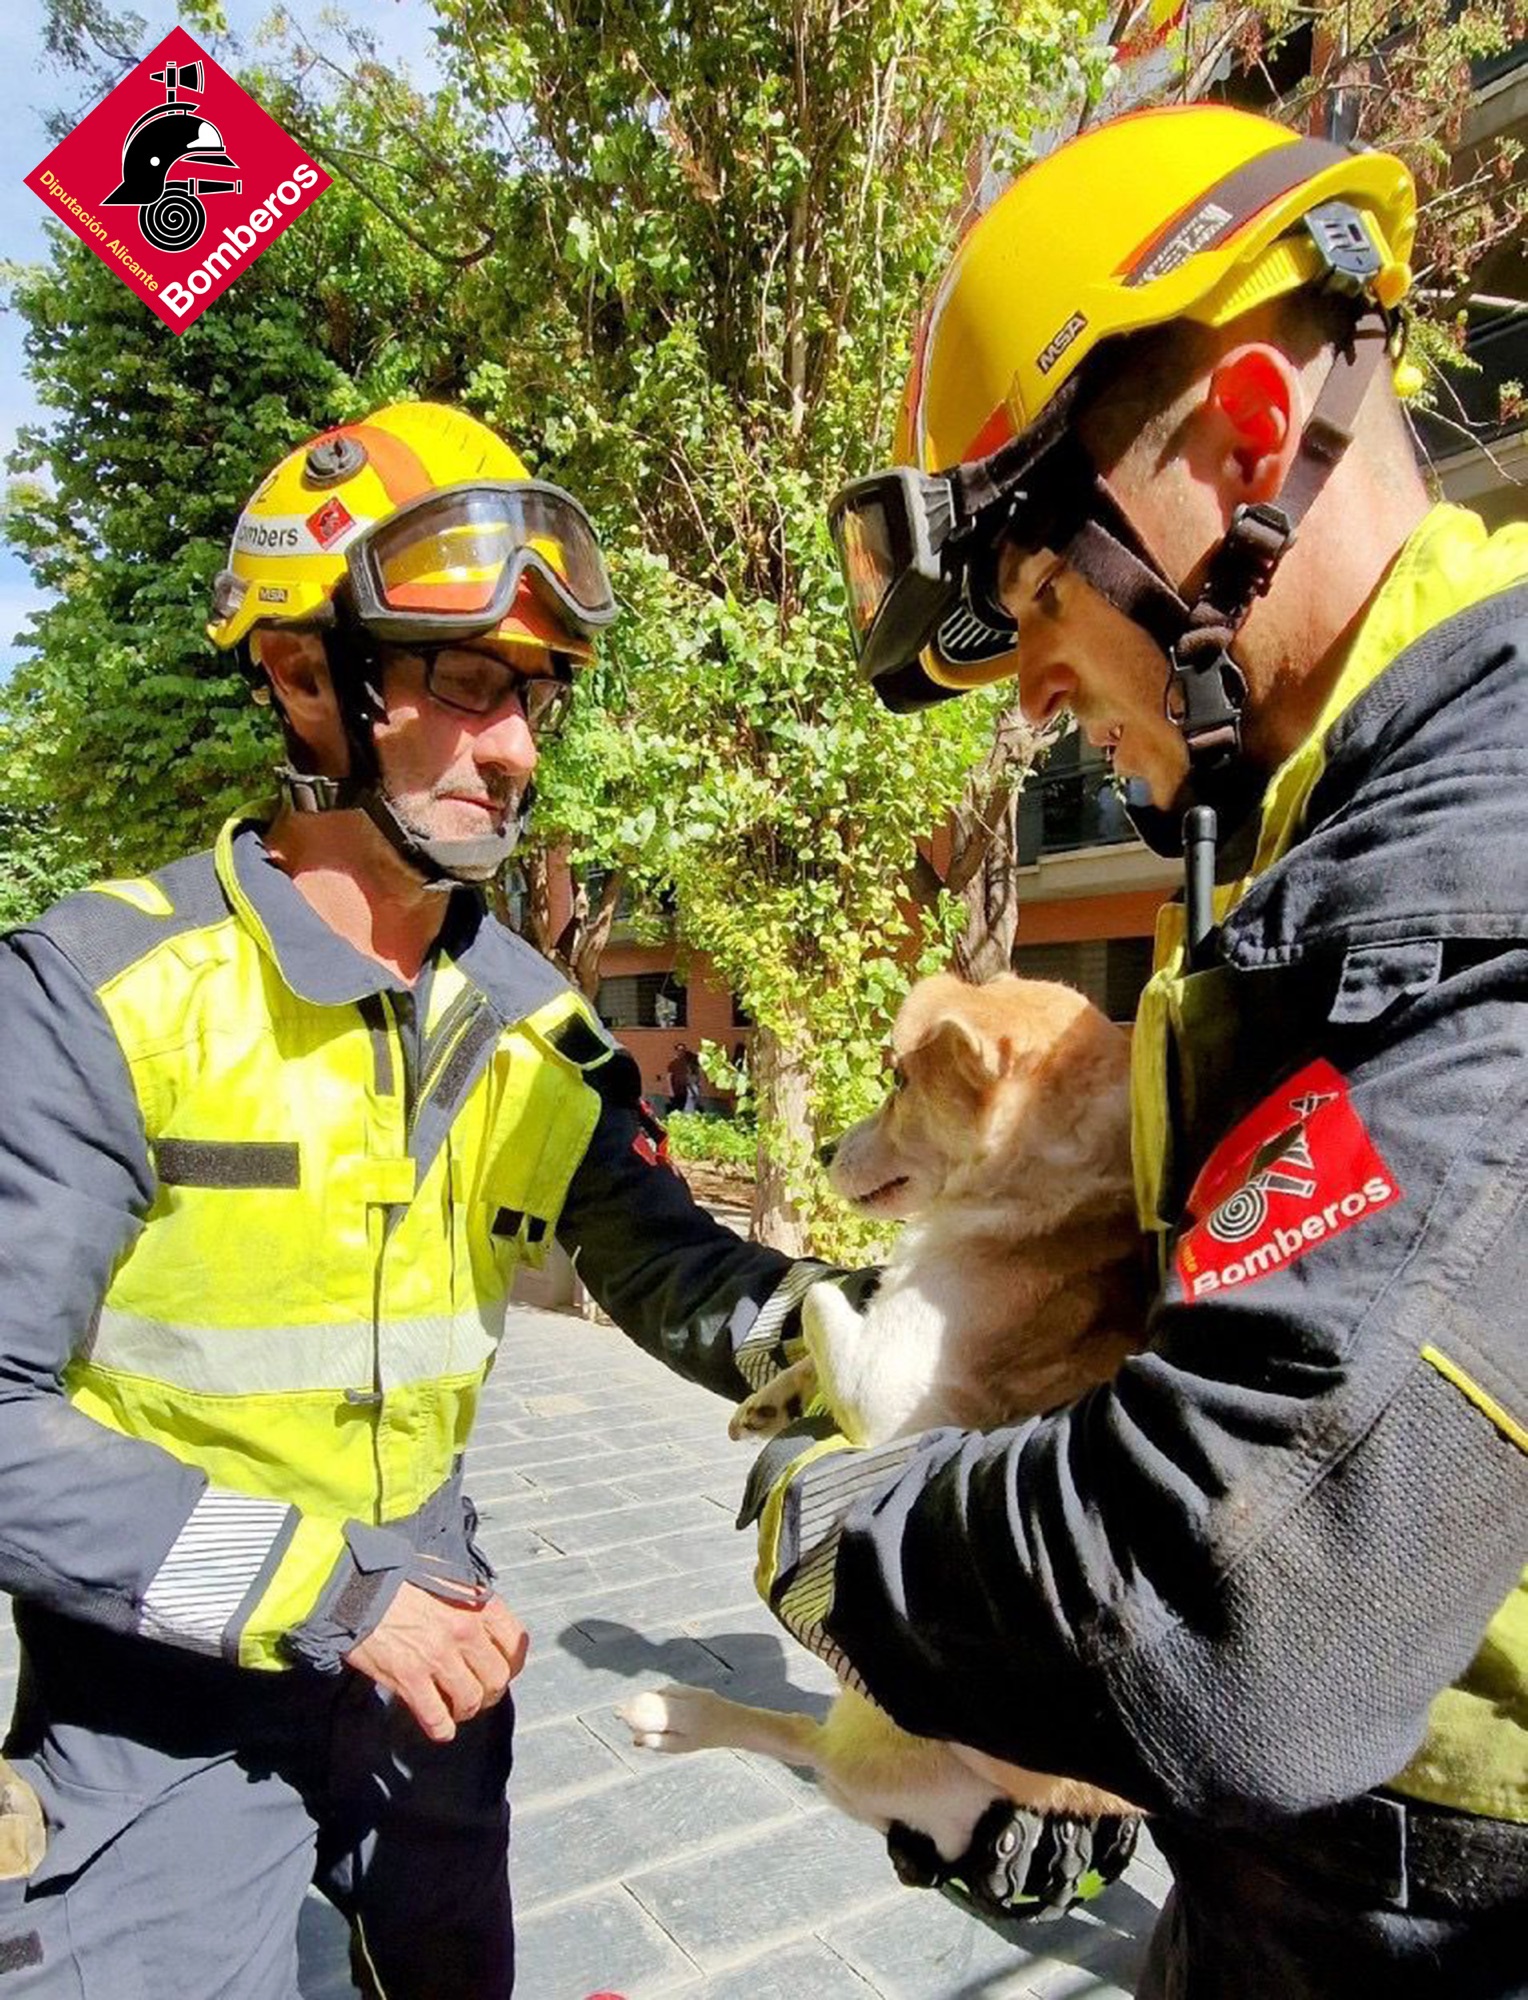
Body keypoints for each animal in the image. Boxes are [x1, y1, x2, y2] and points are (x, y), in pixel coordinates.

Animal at [616, 972, 1144, 1872]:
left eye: (900, 1081)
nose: (824, 1151)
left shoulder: (893, 1393)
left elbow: (835, 1292)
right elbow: (835, 1305)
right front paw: (771, 1400)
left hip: (882, 1739)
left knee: (808, 1747)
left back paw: (675, 1715)